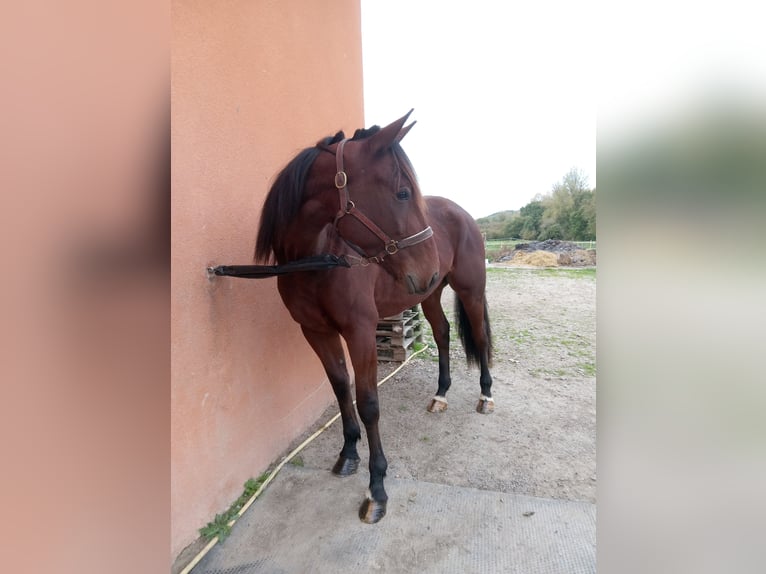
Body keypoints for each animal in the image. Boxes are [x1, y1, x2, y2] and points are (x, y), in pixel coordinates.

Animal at [255, 110, 496, 524]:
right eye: (402, 193)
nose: (428, 267)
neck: (319, 259)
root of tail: (463, 213)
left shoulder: (361, 332)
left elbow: (368, 403)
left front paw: (377, 488)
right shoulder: (316, 332)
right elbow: (341, 389)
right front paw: (348, 454)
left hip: (469, 291)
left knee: (478, 337)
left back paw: (485, 395)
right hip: (430, 295)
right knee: (444, 333)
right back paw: (441, 394)